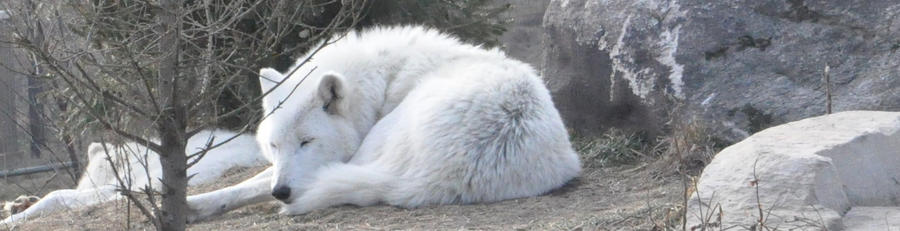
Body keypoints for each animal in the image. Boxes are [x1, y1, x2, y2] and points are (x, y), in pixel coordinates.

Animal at [188, 25, 584, 220]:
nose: (281, 193)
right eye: (274, 145)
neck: (383, 83)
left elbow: (256, 182)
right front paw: (196, 205)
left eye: (306, 142)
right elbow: (251, 181)